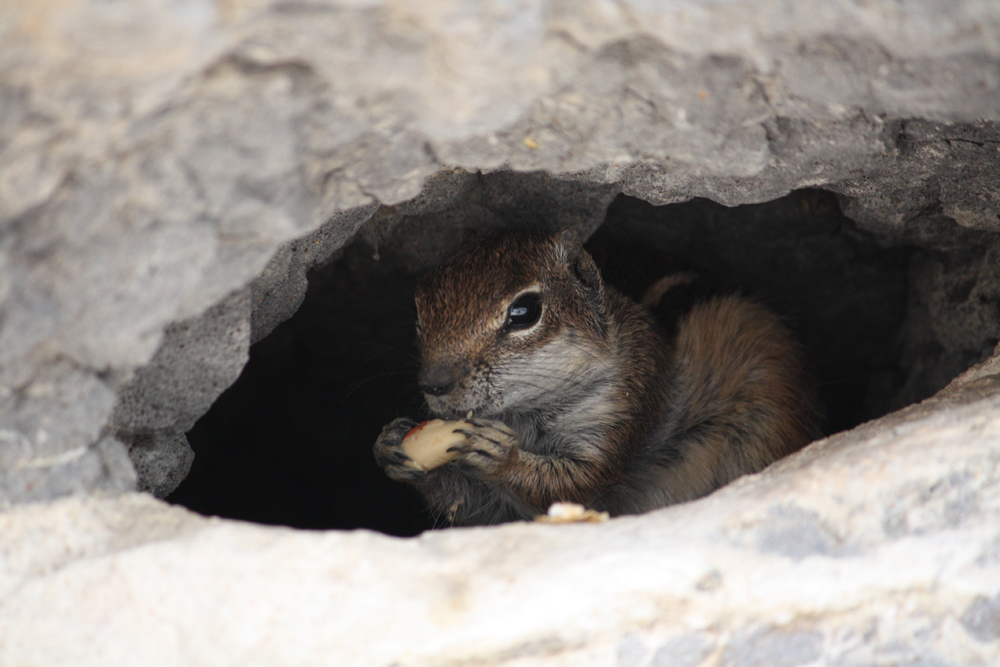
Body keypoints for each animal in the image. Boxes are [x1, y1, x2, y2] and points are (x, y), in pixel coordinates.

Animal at [372, 230, 824, 528]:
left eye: (524, 312)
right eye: (418, 314)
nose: (433, 383)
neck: (525, 414)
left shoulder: (621, 406)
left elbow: (574, 484)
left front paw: (501, 454)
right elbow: (473, 505)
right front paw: (390, 444)